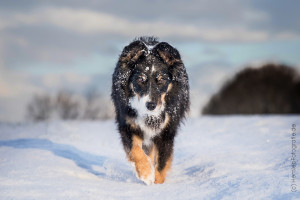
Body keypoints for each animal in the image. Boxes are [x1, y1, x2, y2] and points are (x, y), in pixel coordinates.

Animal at [111, 36, 189, 184]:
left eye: (162, 80)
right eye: (140, 79)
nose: (151, 105)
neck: (150, 115)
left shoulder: (166, 132)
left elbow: (161, 162)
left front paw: (158, 183)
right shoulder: (128, 125)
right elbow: (135, 150)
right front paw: (146, 173)